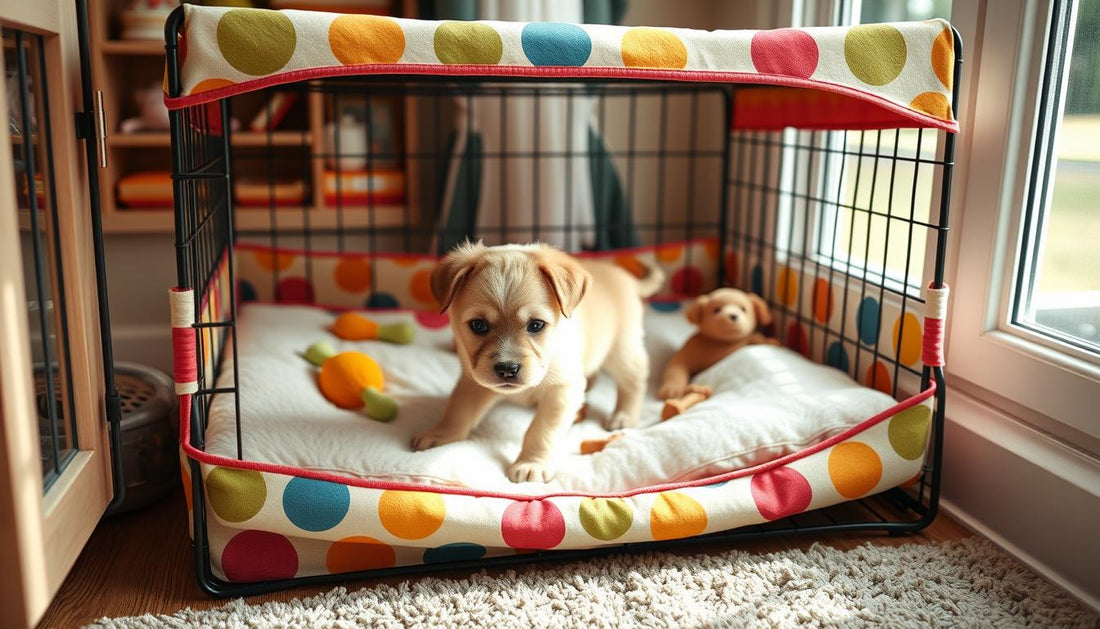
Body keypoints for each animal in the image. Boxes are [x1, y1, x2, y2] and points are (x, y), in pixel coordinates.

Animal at [413, 240, 660, 481]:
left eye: (536, 325)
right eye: (478, 325)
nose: (507, 369)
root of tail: (624, 277)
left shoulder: (561, 390)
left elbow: (541, 431)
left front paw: (531, 463)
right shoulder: (473, 380)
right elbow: (458, 409)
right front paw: (441, 434)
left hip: (622, 351)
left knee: (634, 379)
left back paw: (624, 415)